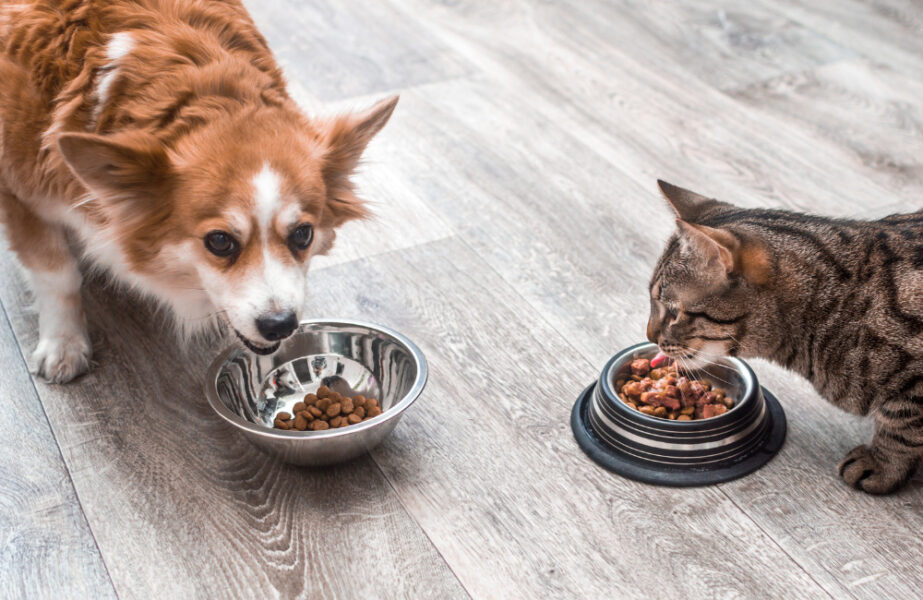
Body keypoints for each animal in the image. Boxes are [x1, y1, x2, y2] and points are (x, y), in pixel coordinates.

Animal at [0, 0, 398, 382]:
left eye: (303, 234)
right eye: (219, 242)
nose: (280, 325)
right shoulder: (19, 196)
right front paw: (63, 344)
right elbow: (58, 274)